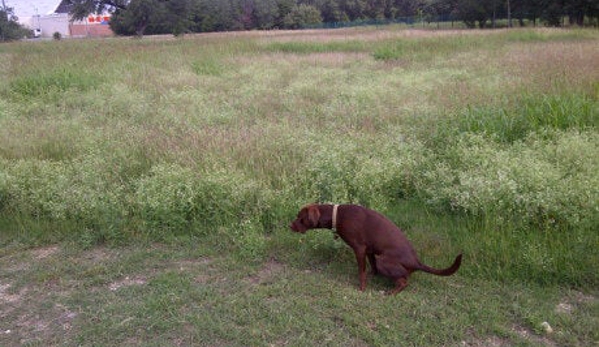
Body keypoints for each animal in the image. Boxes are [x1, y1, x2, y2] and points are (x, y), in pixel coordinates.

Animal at [290, 204, 464, 296]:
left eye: (300, 218)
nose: (289, 225)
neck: (336, 215)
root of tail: (417, 262)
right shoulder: (370, 251)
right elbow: (371, 267)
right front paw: (372, 276)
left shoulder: (359, 249)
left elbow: (361, 272)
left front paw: (361, 288)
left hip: (384, 261)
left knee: (404, 281)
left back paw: (392, 293)